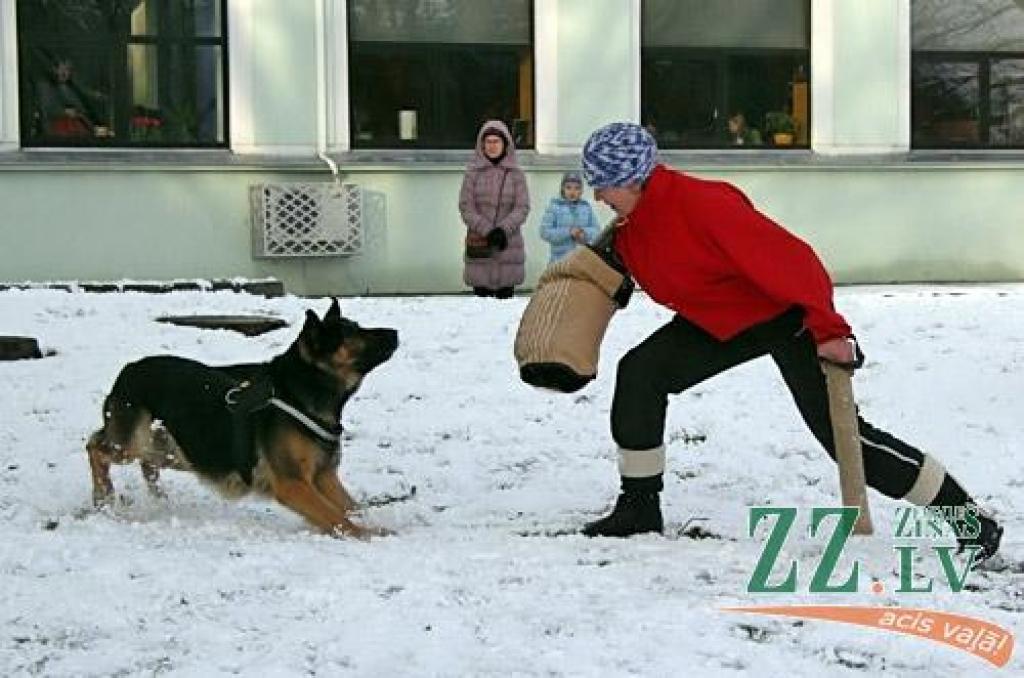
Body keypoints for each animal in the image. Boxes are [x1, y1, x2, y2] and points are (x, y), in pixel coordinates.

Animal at [84, 301, 399, 540]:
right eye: (353, 334)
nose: (395, 332)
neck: (299, 391)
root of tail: (128, 369)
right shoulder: (293, 484)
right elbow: (335, 516)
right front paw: (366, 534)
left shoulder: (324, 477)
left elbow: (350, 507)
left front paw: (373, 524)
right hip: (133, 443)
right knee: (95, 447)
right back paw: (104, 497)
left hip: (173, 449)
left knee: (140, 461)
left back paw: (155, 497)